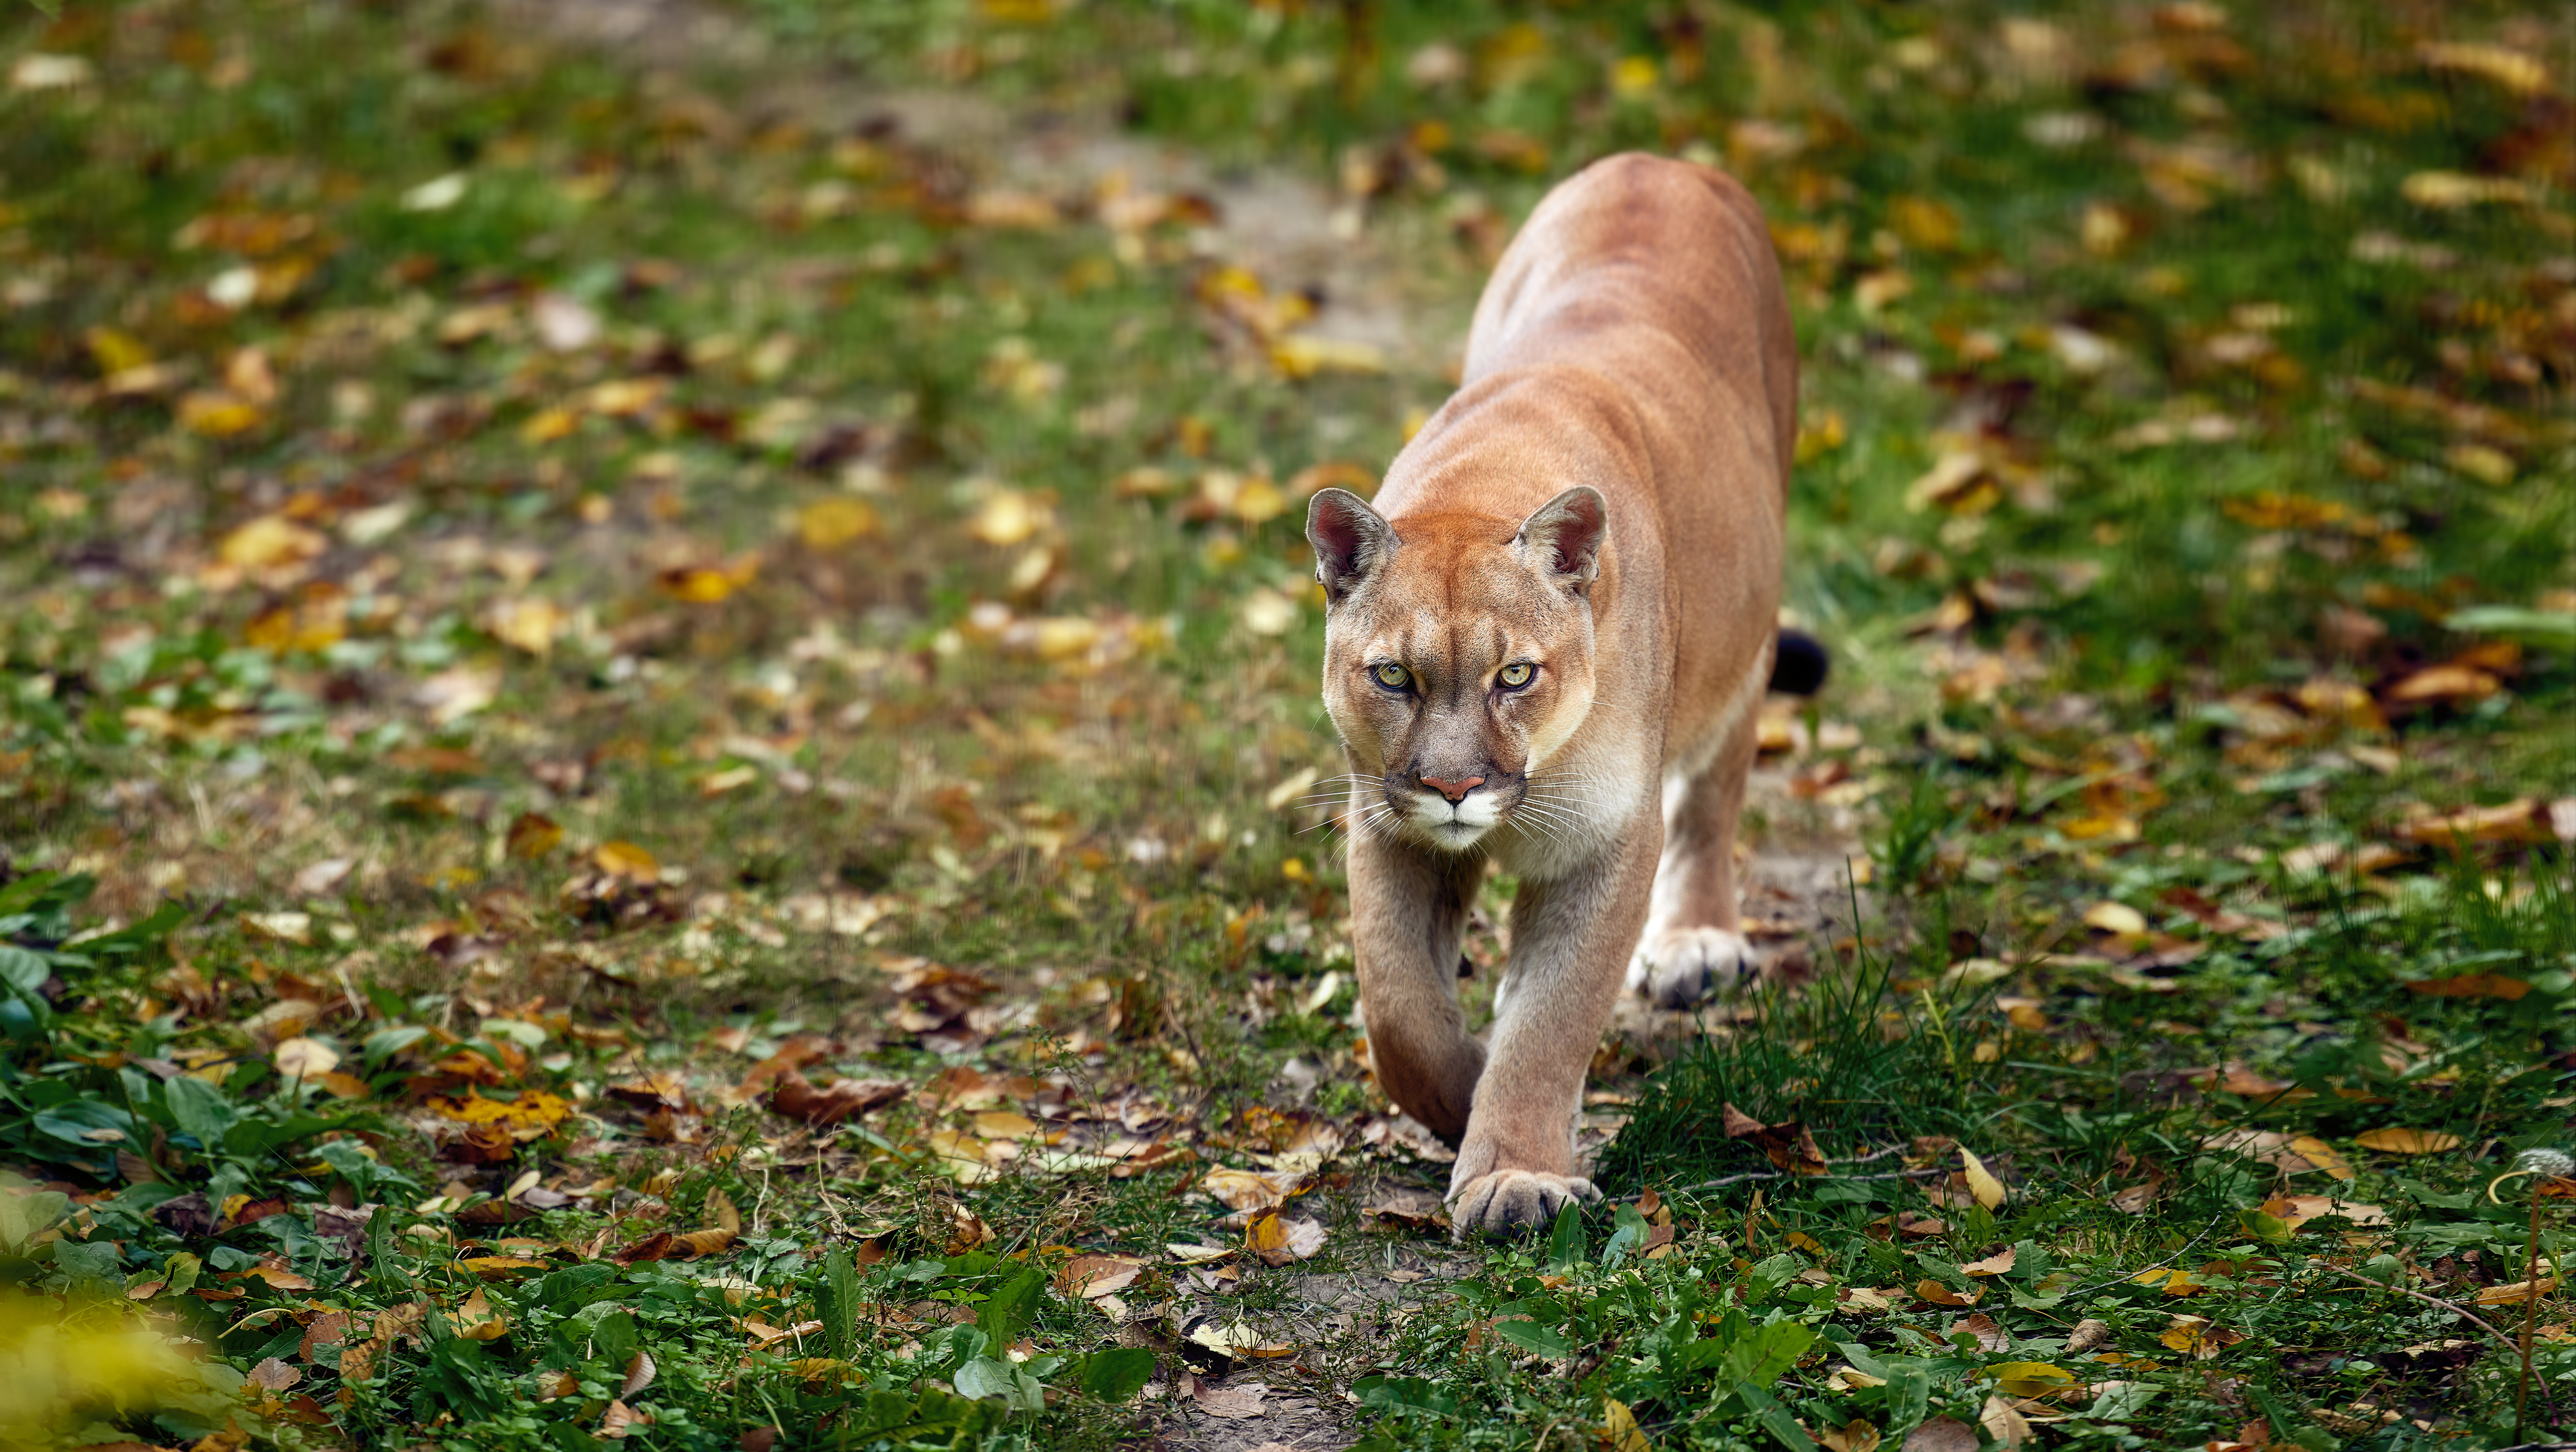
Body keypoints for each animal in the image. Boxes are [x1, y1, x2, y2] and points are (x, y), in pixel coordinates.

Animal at [1303, 153, 1818, 1236]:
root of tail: (1658, 160)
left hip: (1744, 644)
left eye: (1516, 675)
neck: (1484, 483)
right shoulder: (1385, 819)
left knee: (1715, 795)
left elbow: (1552, 1016)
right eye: (1393, 675)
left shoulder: (1607, 837)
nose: (1455, 787)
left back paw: (1697, 941)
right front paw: (1463, 1092)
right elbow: (1398, 1004)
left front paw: (1515, 1175)